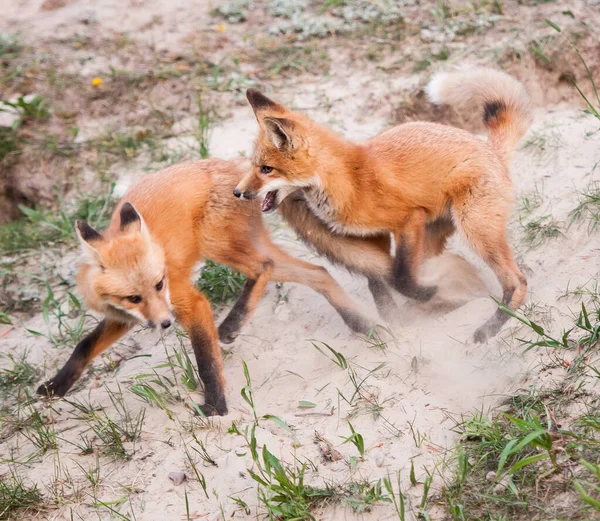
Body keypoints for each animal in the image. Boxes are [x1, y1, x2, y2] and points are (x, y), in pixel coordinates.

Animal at [37, 158, 390, 414]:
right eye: (133, 297)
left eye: (160, 283)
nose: (165, 324)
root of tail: (239, 166)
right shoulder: (123, 317)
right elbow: (84, 345)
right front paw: (56, 387)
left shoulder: (188, 302)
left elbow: (206, 360)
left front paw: (215, 407)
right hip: (253, 247)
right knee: (318, 271)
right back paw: (362, 324)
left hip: (216, 244)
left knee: (264, 267)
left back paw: (233, 322)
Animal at [234, 67, 536, 342]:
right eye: (254, 166)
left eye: (266, 169)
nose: (237, 192)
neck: (350, 181)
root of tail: (488, 148)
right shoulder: (373, 236)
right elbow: (377, 282)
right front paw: (395, 317)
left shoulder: (408, 219)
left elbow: (401, 277)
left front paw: (427, 293)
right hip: (433, 240)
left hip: (475, 229)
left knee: (517, 281)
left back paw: (492, 325)